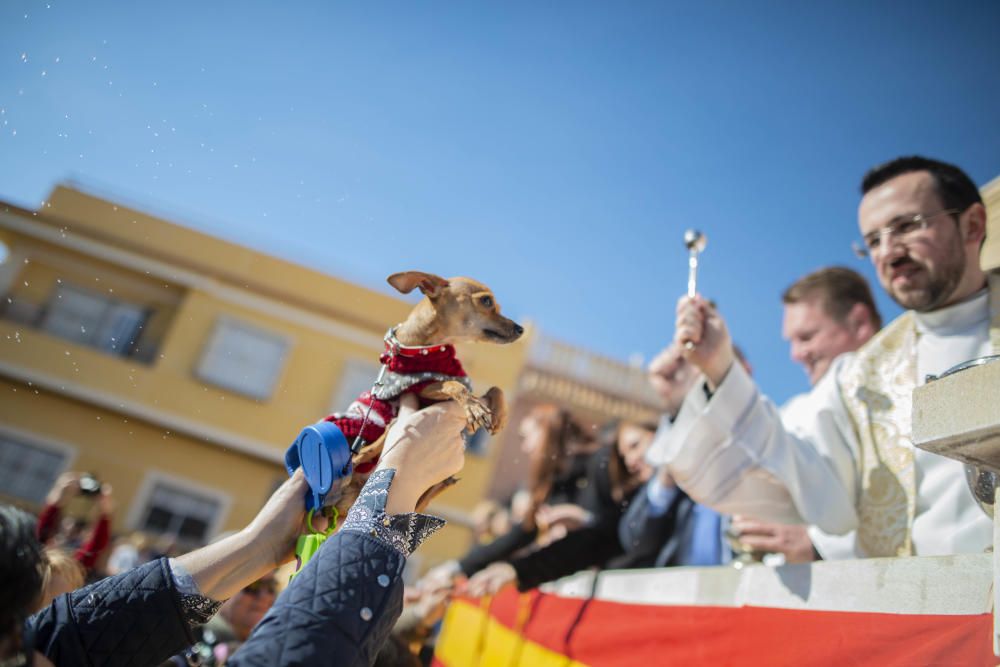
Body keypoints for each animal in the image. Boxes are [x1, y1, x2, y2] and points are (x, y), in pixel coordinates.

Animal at [326, 272, 524, 512]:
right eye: (486, 301)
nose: (520, 329)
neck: (427, 350)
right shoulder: (423, 387)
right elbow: (452, 384)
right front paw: (474, 408)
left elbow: (495, 388)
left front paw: (501, 416)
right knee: (377, 442)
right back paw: (360, 457)